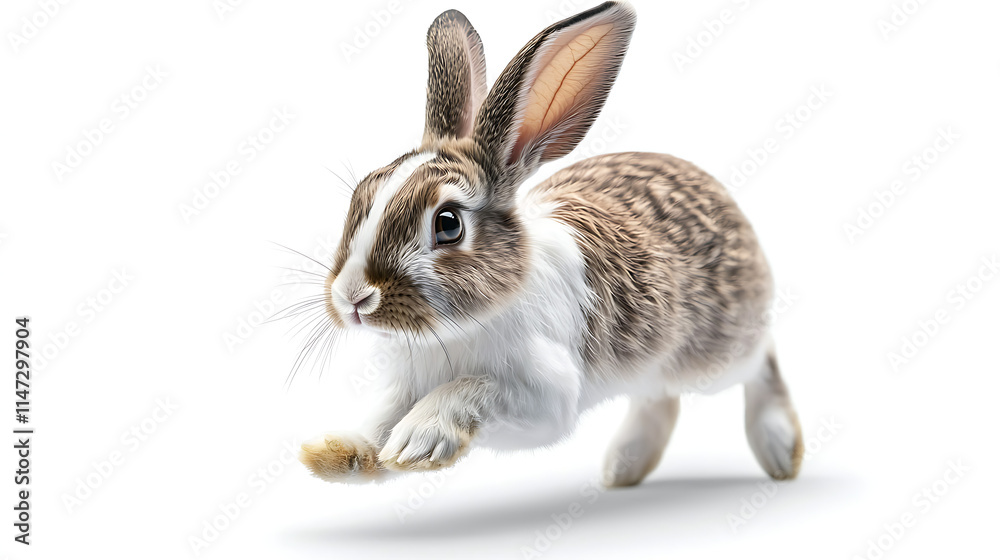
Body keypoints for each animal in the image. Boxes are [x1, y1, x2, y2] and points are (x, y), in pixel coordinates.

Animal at [298, 0, 803, 487]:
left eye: (448, 224)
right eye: (361, 194)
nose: (353, 298)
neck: (461, 328)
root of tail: (719, 195)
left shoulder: (543, 394)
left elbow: (471, 390)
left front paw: (419, 441)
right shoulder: (404, 385)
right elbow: (381, 417)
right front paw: (339, 455)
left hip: (715, 354)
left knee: (762, 360)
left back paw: (780, 450)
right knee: (659, 399)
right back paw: (624, 468)